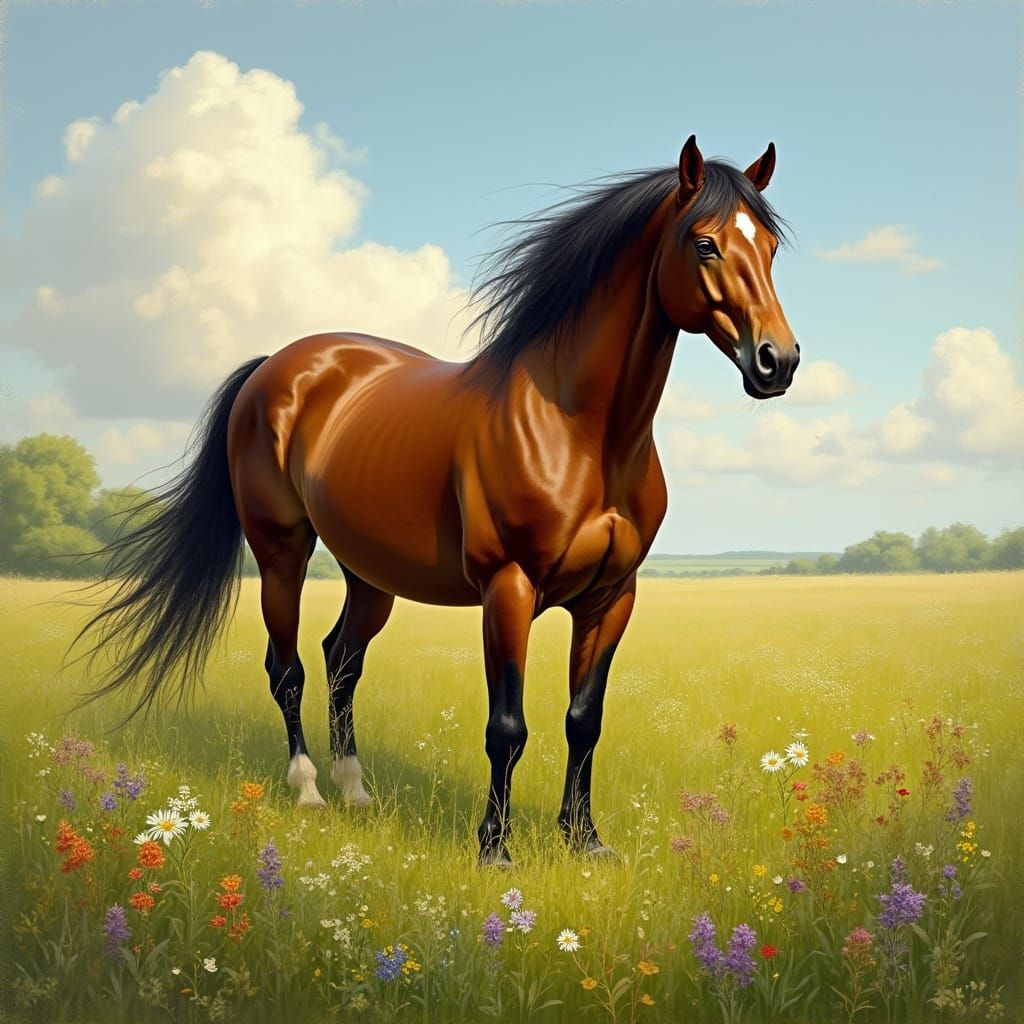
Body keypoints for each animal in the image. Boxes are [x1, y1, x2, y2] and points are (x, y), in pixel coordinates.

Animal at [75, 135, 799, 867]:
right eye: (704, 244)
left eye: (770, 246)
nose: (778, 362)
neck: (581, 431)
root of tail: (278, 365)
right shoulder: (509, 588)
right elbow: (507, 726)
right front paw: (494, 849)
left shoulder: (611, 598)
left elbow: (584, 720)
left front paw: (584, 841)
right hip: (281, 552)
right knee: (289, 668)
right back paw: (308, 790)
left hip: (370, 573)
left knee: (342, 660)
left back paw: (356, 789)